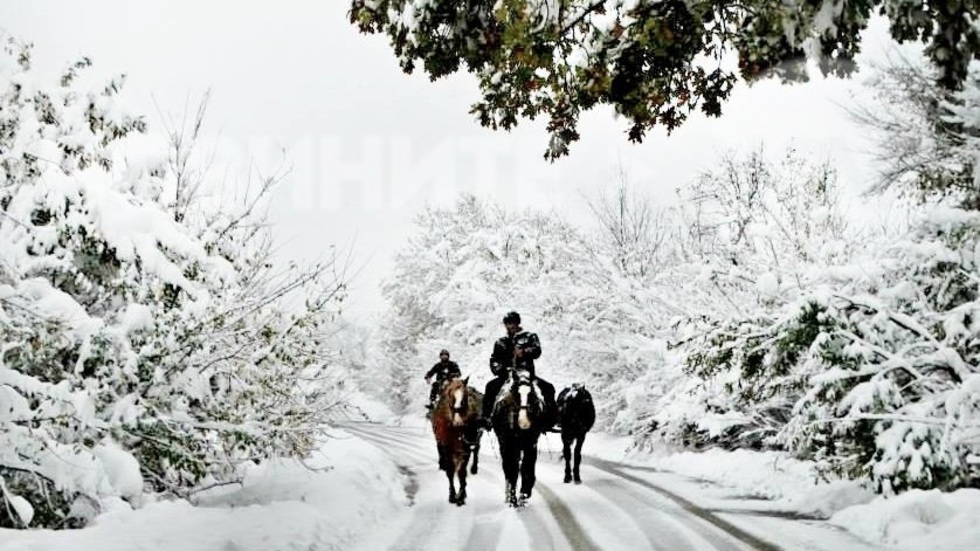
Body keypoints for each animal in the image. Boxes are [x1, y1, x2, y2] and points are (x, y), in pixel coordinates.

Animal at [432, 378, 486, 506]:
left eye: (465, 397)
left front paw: (461, 497)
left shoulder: (465, 450)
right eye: (450, 396)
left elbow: (462, 473)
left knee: (476, 450)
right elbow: (450, 472)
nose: (457, 422)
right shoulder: (447, 450)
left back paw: (474, 469)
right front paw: (452, 495)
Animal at [490, 368, 544, 506]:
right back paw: (508, 496)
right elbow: (512, 470)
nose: (524, 423)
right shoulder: (510, 445)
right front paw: (512, 499)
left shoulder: (531, 444)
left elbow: (527, 468)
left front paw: (524, 494)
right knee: (508, 468)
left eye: (531, 395)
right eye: (516, 395)